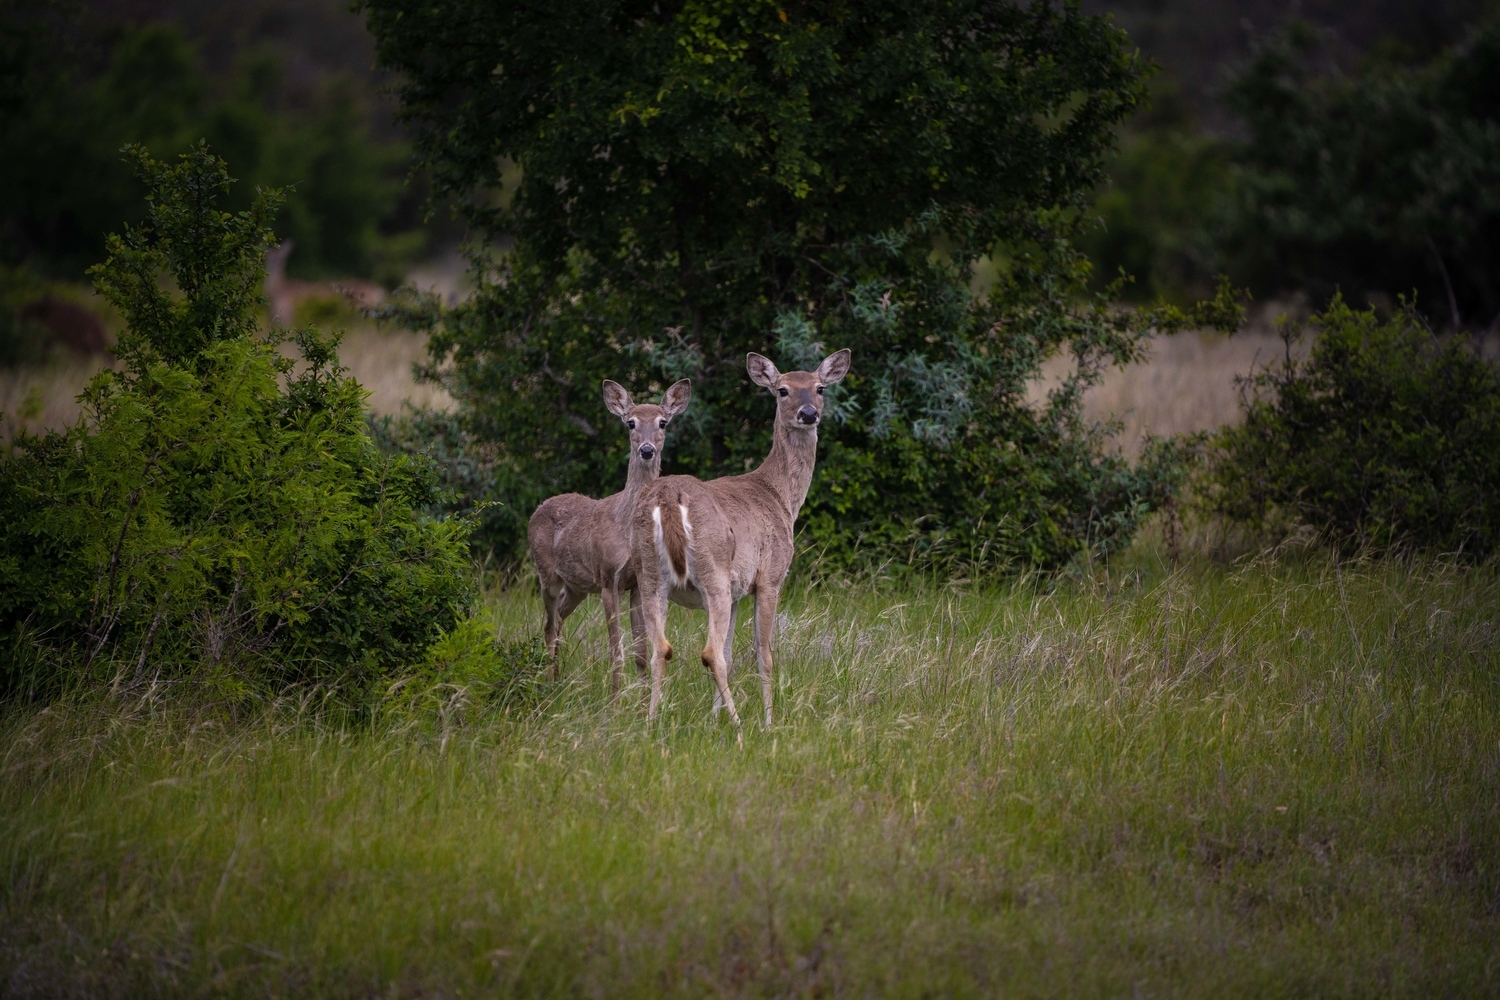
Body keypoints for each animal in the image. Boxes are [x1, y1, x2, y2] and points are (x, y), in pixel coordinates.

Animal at [528, 377, 690, 695]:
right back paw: (548, 683)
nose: (647, 450)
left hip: (576, 586)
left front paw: (642, 700)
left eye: (663, 422)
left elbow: (641, 650)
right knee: (549, 625)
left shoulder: (638, 582)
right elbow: (616, 650)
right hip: (547, 574)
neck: (626, 527)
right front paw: (615, 700)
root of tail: (536, 510)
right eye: (631, 423)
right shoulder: (607, 578)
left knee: (559, 619)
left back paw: (557, 677)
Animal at [627, 347, 852, 731]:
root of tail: (668, 498)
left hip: (649, 576)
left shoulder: (735, 592)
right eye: (782, 390)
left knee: (660, 649)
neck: (780, 495)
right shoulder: (770, 577)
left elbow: (732, 654)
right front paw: (769, 721)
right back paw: (740, 727)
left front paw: (712, 717)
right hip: (712, 570)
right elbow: (764, 655)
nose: (809, 414)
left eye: (820, 387)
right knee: (708, 652)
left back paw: (651, 723)